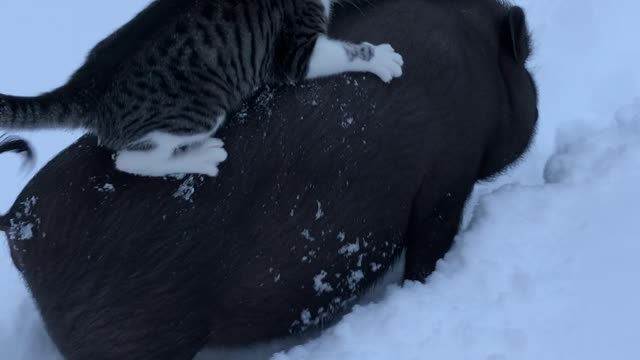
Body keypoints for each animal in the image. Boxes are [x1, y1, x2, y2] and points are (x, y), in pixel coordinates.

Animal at [0, 0, 400, 177]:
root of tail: (88, 84)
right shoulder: (292, 53)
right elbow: (346, 51)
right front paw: (381, 58)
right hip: (198, 112)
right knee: (127, 159)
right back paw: (203, 157)